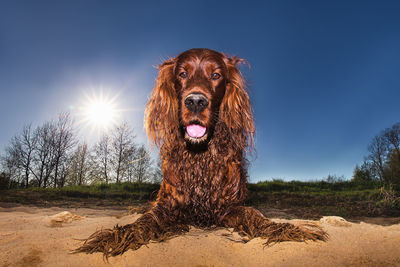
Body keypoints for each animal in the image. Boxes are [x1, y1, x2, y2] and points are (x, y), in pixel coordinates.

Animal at [76, 48, 326, 258]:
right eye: (182, 74)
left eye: (216, 75)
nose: (196, 101)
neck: (199, 156)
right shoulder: (170, 205)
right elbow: (146, 219)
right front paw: (118, 235)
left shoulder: (227, 207)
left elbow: (254, 214)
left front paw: (282, 228)